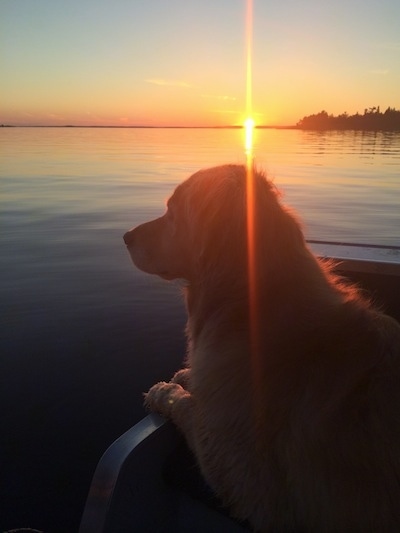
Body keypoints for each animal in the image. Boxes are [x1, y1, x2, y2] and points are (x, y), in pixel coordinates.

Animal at [122, 164, 400, 528]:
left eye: (171, 211)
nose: (126, 236)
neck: (251, 302)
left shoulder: (244, 478)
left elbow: (188, 408)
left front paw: (165, 391)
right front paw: (185, 377)